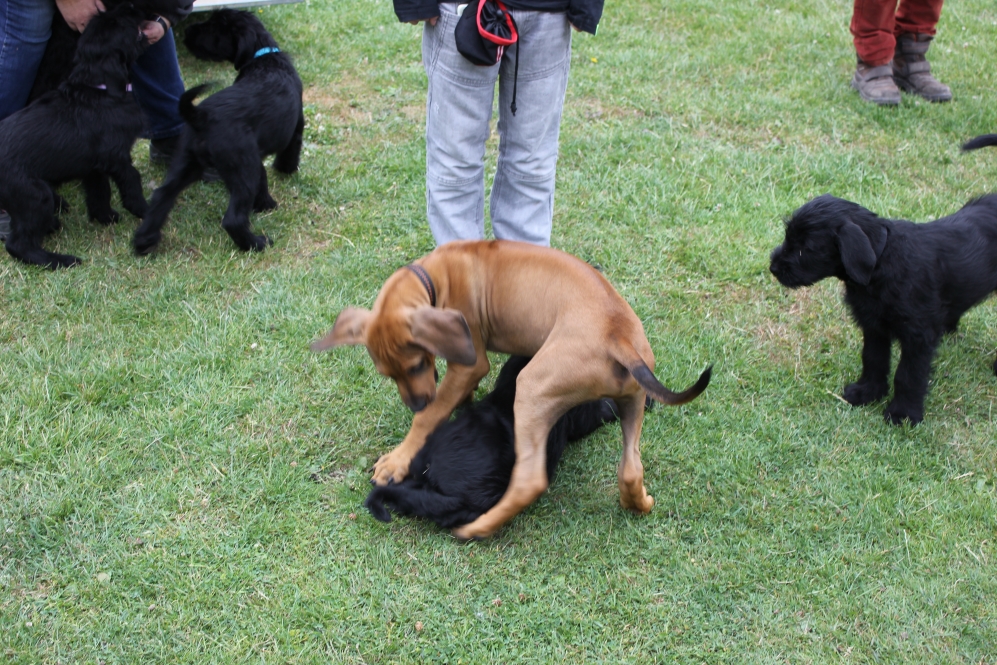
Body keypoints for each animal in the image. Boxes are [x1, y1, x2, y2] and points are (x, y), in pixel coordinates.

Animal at [0, 4, 150, 270]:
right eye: (117, 23)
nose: (136, 11)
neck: (98, 88)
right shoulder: (116, 157)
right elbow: (132, 180)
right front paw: (143, 209)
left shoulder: (93, 165)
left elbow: (99, 191)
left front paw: (105, 216)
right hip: (34, 195)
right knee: (18, 245)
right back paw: (59, 260)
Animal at [132, 10, 304, 254]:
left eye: (214, 28)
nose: (187, 31)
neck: (263, 59)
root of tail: (200, 116)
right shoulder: (294, 127)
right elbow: (288, 153)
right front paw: (284, 172)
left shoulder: (254, 155)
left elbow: (262, 176)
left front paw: (264, 203)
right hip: (240, 170)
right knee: (233, 219)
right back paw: (256, 243)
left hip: (187, 163)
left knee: (161, 196)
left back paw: (144, 241)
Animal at [772, 192, 996, 426]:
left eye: (805, 247)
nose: (773, 267)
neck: (882, 262)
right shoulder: (874, 327)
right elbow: (873, 359)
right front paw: (868, 392)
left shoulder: (918, 337)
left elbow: (908, 374)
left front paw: (903, 413)